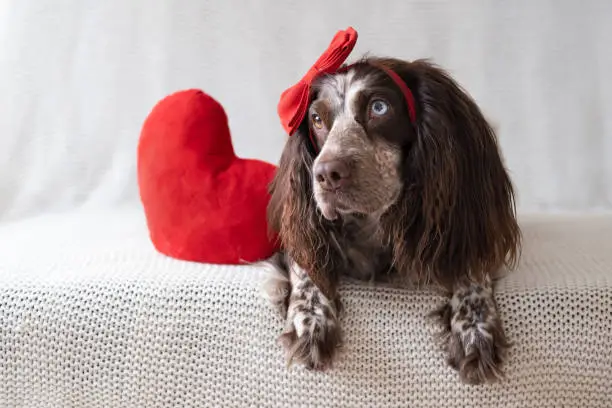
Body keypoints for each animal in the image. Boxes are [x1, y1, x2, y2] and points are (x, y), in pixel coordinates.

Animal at [262, 50, 520, 382]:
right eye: (317, 119)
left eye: (379, 107)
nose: (326, 175)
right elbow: (306, 267)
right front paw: (309, 319)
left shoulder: (467, 225)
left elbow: (471, 269)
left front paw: (475, 328)